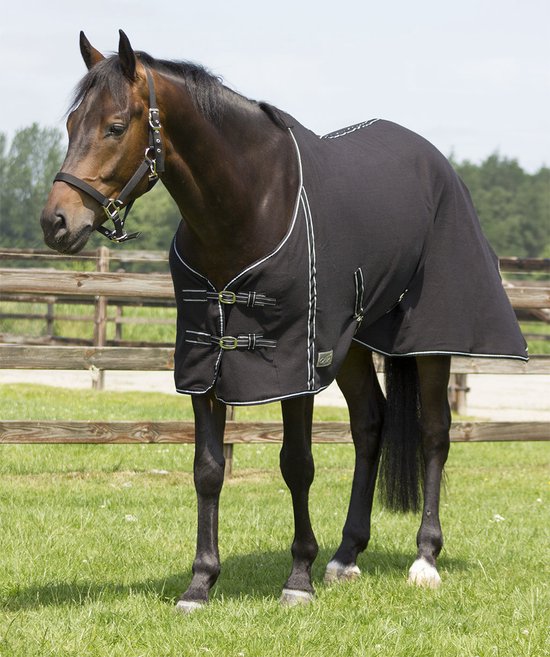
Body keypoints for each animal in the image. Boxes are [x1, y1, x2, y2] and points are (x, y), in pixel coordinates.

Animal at [40, 31, 527, 612]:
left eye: (115, 126)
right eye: (72, 124)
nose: (56, 223)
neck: (248, 204)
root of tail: (437, 162)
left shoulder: (294, 361)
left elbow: (297, 464)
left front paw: (298, 577)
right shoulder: (206, 359)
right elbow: (208, 470)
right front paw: (200, 583)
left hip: (430, 339)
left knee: (435, 432)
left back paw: (424, 559)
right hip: (351, 342)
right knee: (370, 424)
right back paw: (346, 555)